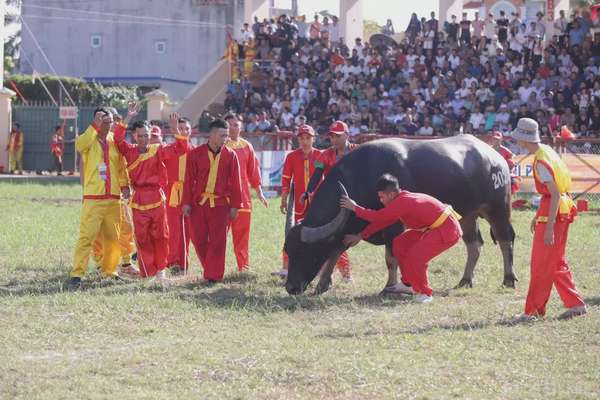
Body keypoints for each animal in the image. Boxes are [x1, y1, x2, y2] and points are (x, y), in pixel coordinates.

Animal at [284, 136, 516, 296]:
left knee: (505, 239)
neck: (363, 174)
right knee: (474, 244)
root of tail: (495, 157)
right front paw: (322, 285)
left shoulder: (393, 224)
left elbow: (391, 257)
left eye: (307, 252)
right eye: (288, 250)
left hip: (498, 208)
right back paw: (465, 280)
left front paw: (389, 286)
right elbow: (335, 251)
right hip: (468, 214)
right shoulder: (347, 225)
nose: (291, 287)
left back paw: (508, 279)